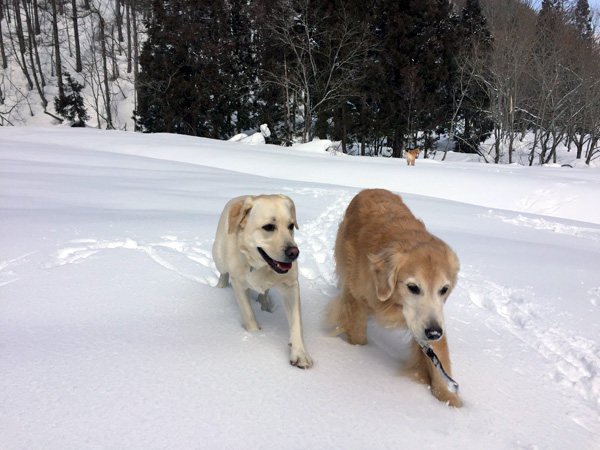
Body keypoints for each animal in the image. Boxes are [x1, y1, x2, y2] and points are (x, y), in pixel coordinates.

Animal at [212, 194, 314, 370]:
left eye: (291, 226)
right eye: (268, 227)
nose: (294, 252)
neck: (260, 266)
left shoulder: (290, 286)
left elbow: (296, 324)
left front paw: (300, 354)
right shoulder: (239, 283)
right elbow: (248, 315)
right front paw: (256, 336)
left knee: (264, 292)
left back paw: (264, 304)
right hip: (219, 257)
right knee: (223, 272)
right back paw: (220, 287)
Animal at [328, 188, 460, 406]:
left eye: (444, 289)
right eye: (413, 287)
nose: (434, 333)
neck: (394, 302)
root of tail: (371, 189)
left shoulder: (430, 321)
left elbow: (440, 363)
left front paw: (452, 404)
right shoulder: (358, 300)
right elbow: (358, 336)